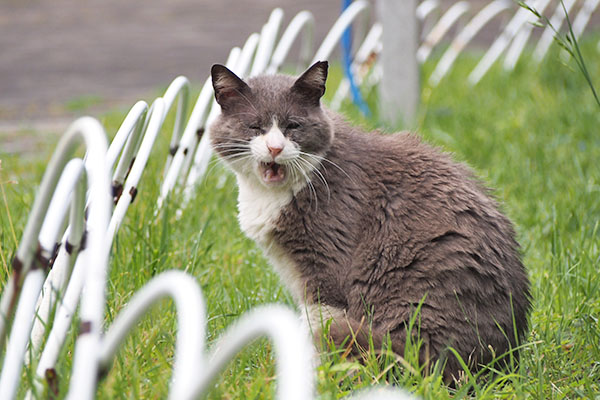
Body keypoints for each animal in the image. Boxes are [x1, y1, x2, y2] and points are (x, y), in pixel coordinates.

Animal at [210, 60, 528, 382]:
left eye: (293, 126)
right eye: (255, 127)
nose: (275, 148)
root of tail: (500, 361)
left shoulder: (326, 262)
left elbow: (320, 322)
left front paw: (318, 376)